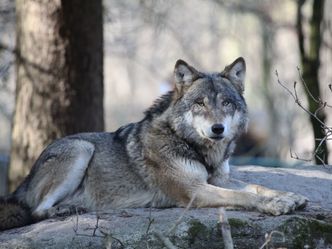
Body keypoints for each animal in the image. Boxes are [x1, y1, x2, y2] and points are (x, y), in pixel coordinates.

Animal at [0, 57, 308, 231]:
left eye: (226, 103)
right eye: (200, 103)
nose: (217, 129)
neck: (193, 147)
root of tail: (24, 181)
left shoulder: (217, 180)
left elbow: (256, 186)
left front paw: (287, 196)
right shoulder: (193, 191)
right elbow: (243, 196)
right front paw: (274, 205)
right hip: (81, 149)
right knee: (36, 210)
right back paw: (64, 210)